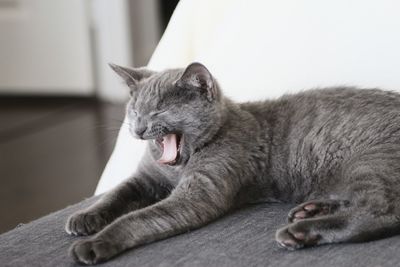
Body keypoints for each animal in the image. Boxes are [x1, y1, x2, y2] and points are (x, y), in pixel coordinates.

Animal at [64, 62, 400, 266]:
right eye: (133, 111)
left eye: (159, 112)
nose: (138, 128)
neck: (176, 168)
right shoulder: (146, 178)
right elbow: (116, 193)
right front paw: (84, 217)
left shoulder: (198, 194)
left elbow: (139, 218)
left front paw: (94, 243)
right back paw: (309, 210)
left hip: (369, 162)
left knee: (382, 212)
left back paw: (301, 231)